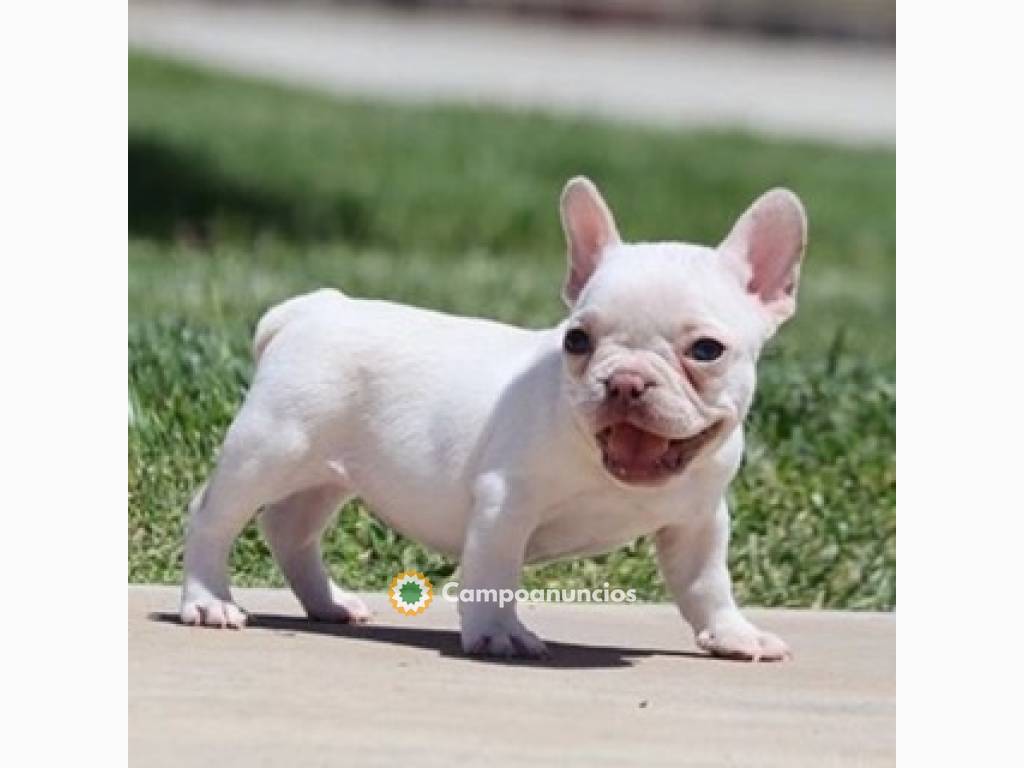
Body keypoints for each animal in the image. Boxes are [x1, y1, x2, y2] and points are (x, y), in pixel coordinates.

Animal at [182, 177, 806, 663]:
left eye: (706, 351)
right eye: (577, 340)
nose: (625, 382)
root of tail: (313, 308)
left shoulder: (699, 521)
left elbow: (707, 583)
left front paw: (733, 633)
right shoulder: (505, 503)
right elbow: (494, 571)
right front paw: (499, 633)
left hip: (326, 474)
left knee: (290, 529)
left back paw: (328, 602)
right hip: (270, 449)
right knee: (213, 515)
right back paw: (209, 600)